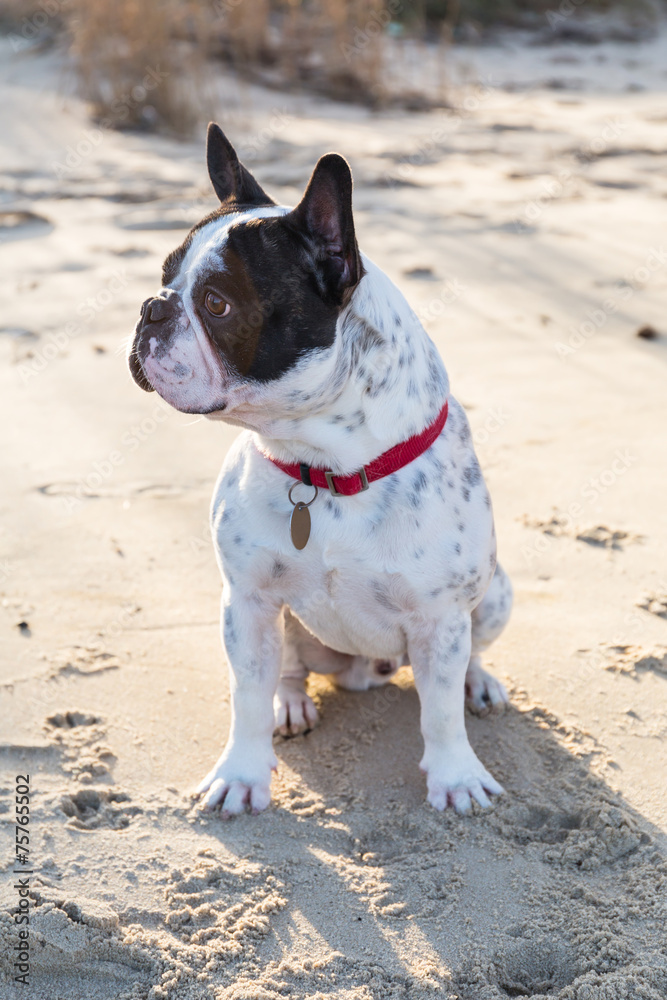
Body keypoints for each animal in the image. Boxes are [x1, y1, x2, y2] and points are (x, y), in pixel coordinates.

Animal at [128, 123, 516, 812]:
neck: (324, 467)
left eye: (216, 303)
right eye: (165, 277)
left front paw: (457, 778)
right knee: (285, 670)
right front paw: (241, 774)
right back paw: (291, 703)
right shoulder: (248, 601)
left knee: (467, 662)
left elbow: (441, 711)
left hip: (495, 594)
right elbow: (246, 696)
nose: (152, 306)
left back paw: (481, 683)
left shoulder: (442, 619)